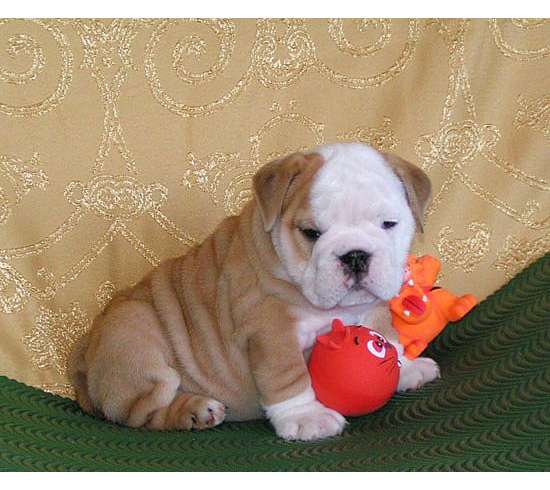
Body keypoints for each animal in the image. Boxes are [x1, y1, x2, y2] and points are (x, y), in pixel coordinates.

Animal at [70, 142, 440, 440]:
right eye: (311, 232)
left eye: (389, 224)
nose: (355, 255)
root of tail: (84, 355)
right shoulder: (268, 327)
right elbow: (288, 376)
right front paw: (307, 418)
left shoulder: (374, 303)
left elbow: (387, 332)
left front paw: (406, 366)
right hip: (135, 333)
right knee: (144, 415)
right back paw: (194, 410)